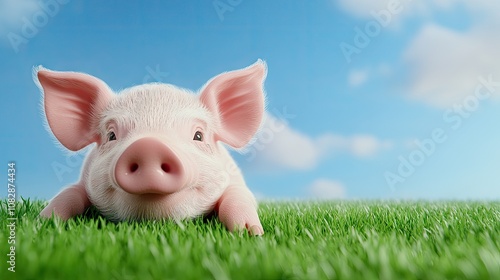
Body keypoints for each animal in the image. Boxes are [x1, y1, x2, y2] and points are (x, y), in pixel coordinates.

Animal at [35, 60, 268, 235]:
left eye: (199, 136)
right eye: (111, 135)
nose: (149, 146)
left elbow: (238, 197)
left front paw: (251, 232)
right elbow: (68, 194)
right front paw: (42, 221)